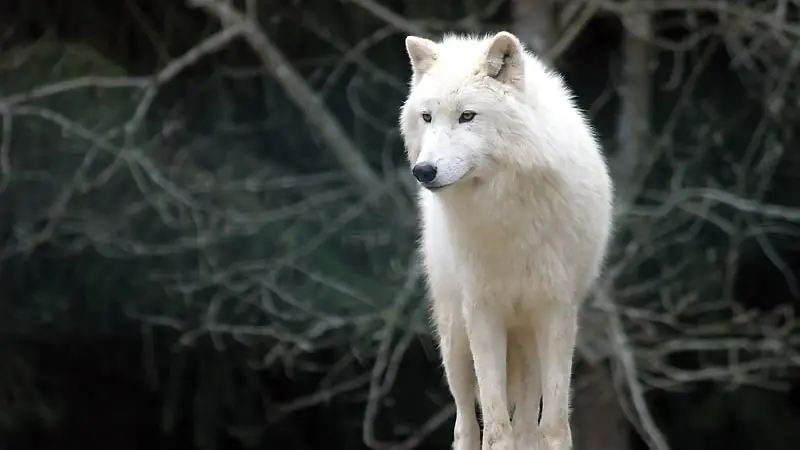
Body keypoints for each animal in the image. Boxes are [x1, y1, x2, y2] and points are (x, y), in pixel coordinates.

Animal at [398, 31, 614, 450]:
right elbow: (496, 427)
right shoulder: (482, 311)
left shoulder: (555, 310)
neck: (504, 213)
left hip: (526, 340)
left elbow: (553, 425)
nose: (424, 171)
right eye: (427, 117)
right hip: (455, 338)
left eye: (467, 116)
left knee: (528, 420)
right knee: (466, 424)